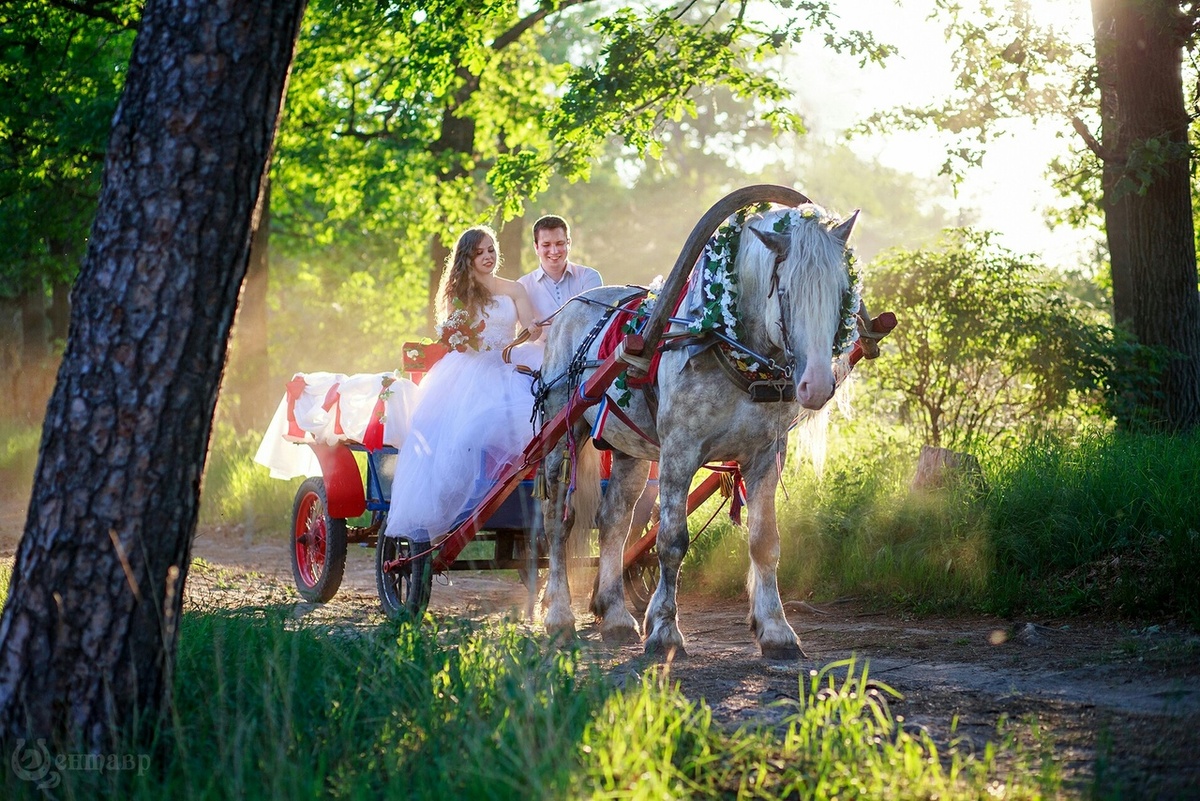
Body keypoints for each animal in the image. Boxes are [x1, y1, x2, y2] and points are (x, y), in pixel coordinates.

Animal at [537, 188, 864, 657]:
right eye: (784, 291)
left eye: (842, 292)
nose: (817, 384)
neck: (729, 346)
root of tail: (573, 306)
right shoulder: (679, 451)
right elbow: (671, 542)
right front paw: (663, 630)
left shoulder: (766, 454)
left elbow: (765, 542)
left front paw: (777, 631)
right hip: (562, 432)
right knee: (556, 521)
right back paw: (559, 616)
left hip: (629, 447)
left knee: (614, 518)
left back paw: (615, 616)